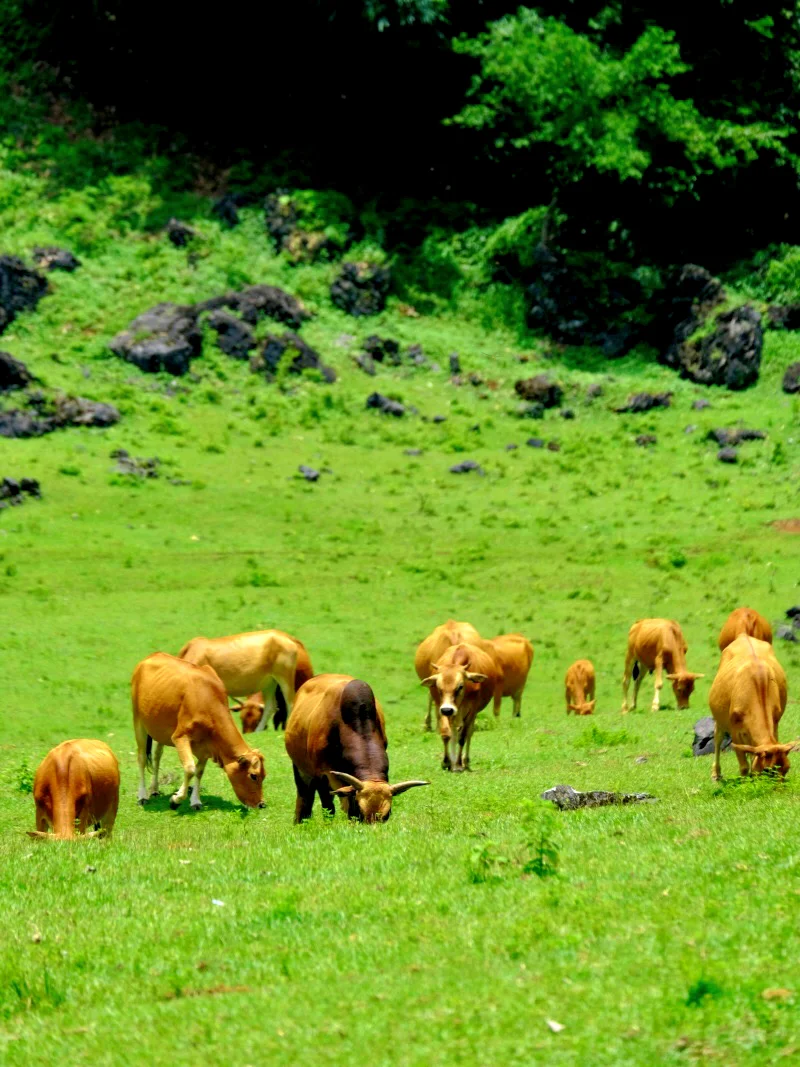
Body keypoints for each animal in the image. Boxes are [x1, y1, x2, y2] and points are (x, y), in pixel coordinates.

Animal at [133, 648, 266, 806]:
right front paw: (176, 799)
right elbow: (190, 768)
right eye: (253, 776)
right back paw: (142, 796)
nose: (262, 804)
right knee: (141, 758)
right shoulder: (180, 737)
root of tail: (153, 655)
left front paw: (195, 800)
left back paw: (154, 789)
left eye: (264, 775)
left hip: (159, 729)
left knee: (157, 755)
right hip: (139, 722)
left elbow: (199, 771)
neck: (207, 698)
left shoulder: (206, 746)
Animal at [285, 674, 428, 823]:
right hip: (300, 769)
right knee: (304, 794)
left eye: (386, 815)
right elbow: (328, 806)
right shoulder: (321, 775)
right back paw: (301, 821)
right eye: (361, 809)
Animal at [420, 635, 501, 772]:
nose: (448, 710)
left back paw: (465, 761)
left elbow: (462, 737)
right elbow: (446, 734)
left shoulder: (471, 711)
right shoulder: (440, 708)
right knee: (454, 732)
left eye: (460, 686)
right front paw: (446, 762)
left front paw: (458, 763)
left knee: (468, 734)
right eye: (438, 687)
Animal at [708, 635, 797, 781]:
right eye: (767, 770)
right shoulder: (735, 731)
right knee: (717, 737)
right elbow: (744, 765)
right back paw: (716, 773)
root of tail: (743, 636)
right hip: (719, 719)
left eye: (786, 769)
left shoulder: (775, 723)